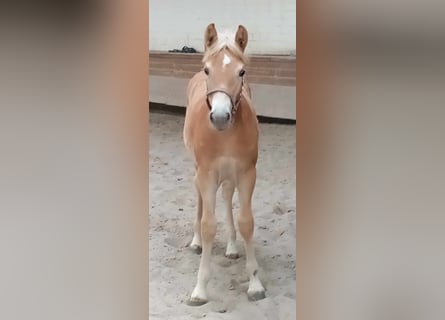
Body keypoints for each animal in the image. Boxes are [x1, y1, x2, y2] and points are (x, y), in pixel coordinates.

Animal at [182, 23, 266, 304]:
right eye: (208, 69)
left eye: (242, 72)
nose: (220, 116)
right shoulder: (207, 174)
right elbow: (209, 225)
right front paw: (199, 289)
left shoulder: (247, 173)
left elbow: (246, 222)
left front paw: (255, 284)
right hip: (199, 172)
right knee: (199, 199)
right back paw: (196, 242)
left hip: (230, 175)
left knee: (228, 197)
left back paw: (231, 246)